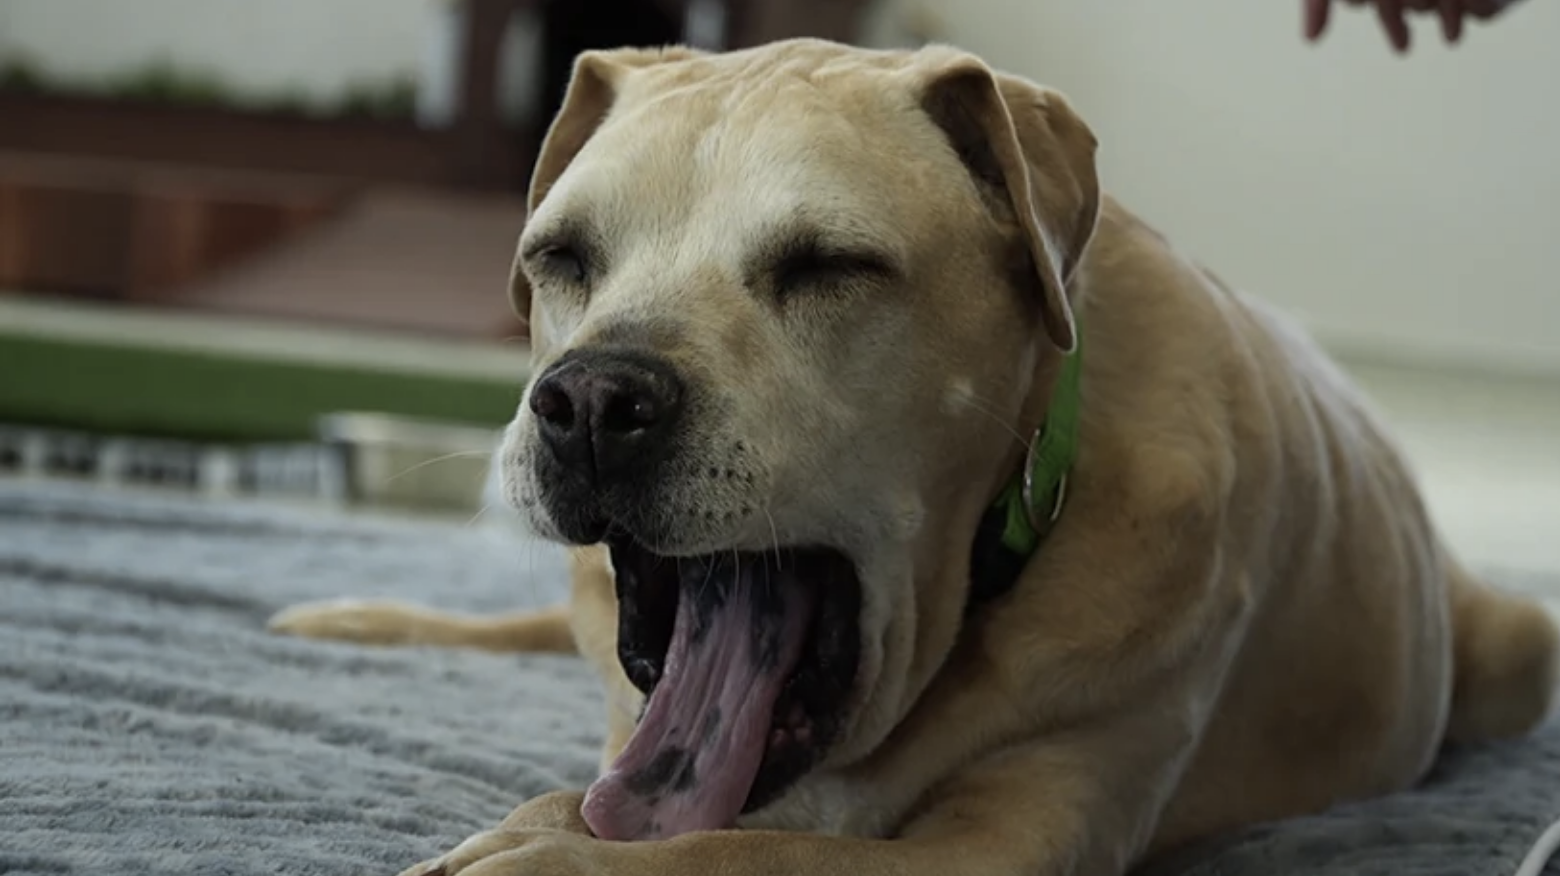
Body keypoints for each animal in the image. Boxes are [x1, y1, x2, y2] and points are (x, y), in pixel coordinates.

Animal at [269, 37, 1559, 876]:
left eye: (828, 265)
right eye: (561, 256)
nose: (589, 399)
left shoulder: (1011, 840)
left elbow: (742, 859)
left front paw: (546, 855)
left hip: (1521, 650)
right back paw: (353, 618)